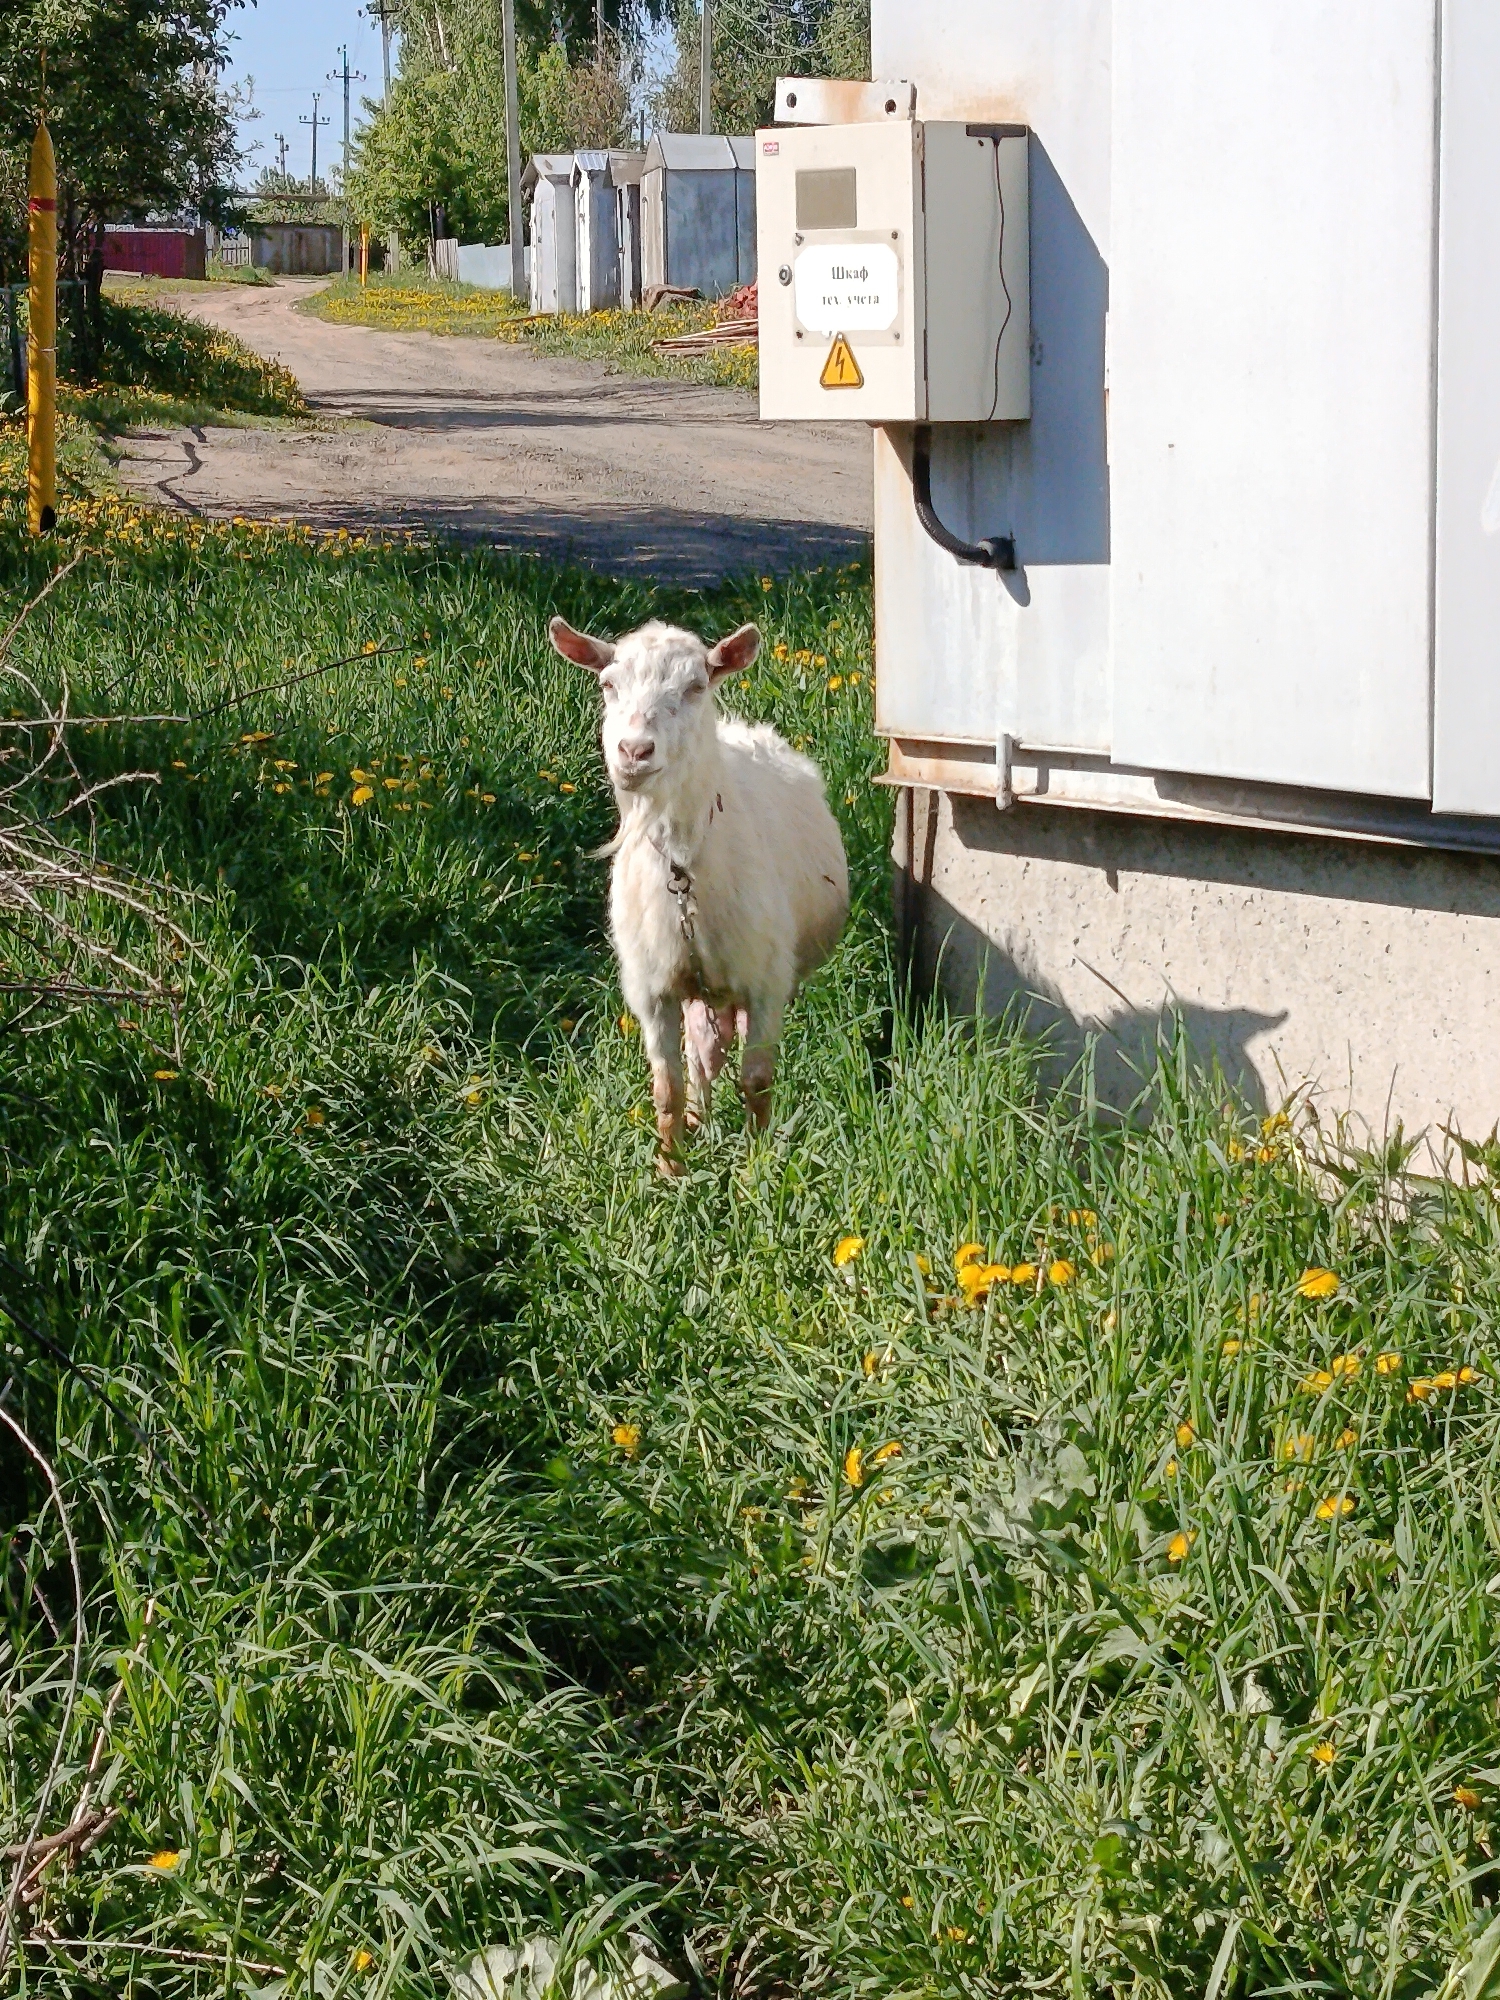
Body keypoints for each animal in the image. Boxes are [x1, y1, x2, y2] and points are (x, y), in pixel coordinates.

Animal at [550, 614, 849, 1167]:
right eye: (608, 685)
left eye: (694, 687)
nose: (634, 752)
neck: (682, 872)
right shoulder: (652, 989)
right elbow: (665, 1087)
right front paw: (672, 1167)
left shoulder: (767, 981)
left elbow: (757, 1080)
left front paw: (756, 1167)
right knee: (702, 1053)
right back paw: (696, 1121)